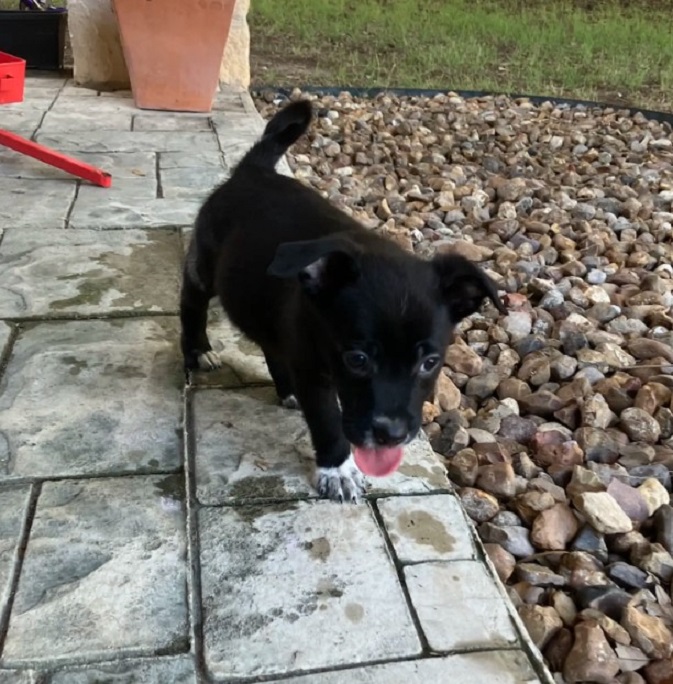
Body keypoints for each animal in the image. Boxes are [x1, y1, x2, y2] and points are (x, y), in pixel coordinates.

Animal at [178, 97, 504, 502]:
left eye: (430, 362)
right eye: (357, 359)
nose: (391, 435)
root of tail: (252, 170)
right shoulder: (313, 372)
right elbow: (328, 420)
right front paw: (338, 470)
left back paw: (285, 388)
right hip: (205, 265)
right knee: (191, 301)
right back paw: (197, 350)